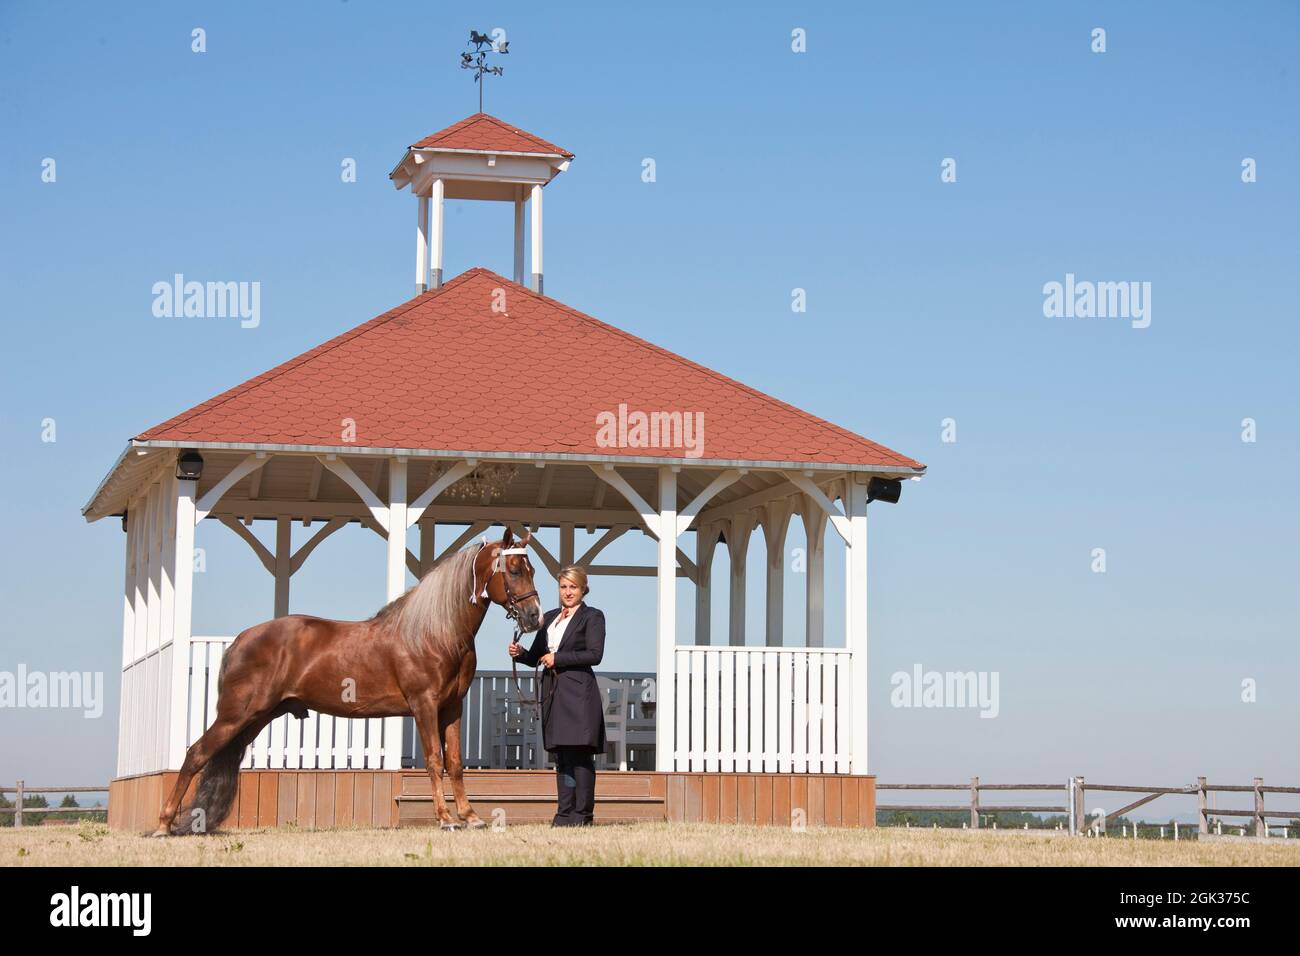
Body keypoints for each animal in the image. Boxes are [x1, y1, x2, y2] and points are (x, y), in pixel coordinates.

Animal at [156, 528, 543, 832]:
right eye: (512, 570)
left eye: (532, 569)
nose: (534, 616)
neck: (435, 632)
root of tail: (240, 640)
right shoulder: (424, 705)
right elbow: (434, 760)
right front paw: (446, 819)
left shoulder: (452, 707)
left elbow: (456, 763)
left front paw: (470, 816)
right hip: (235, 716)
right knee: (194, 754)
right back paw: (163, 824)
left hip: (255, 719)